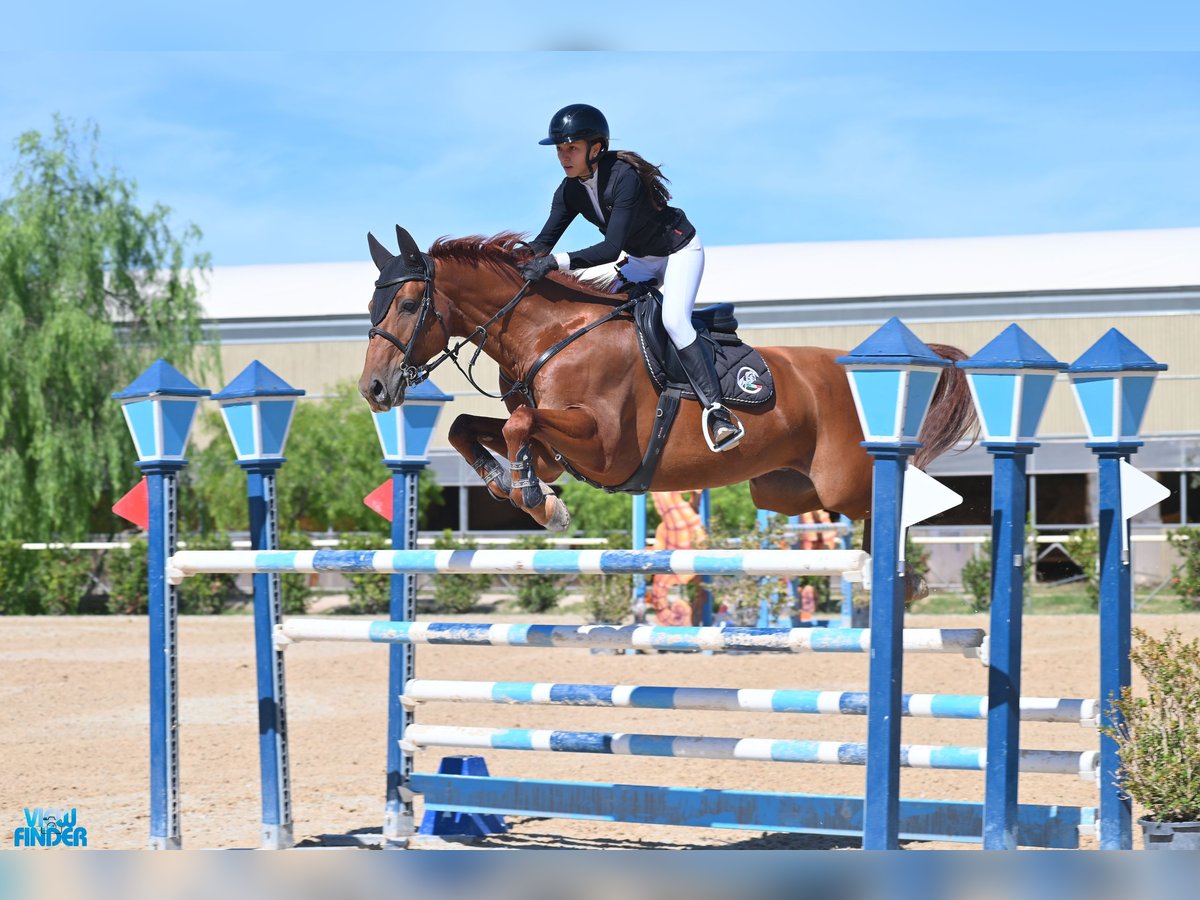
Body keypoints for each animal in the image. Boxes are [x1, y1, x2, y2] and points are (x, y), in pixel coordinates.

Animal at [355, 226, 974, 535]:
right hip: (785, 488)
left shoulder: (604, 444)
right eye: (372, 304)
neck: (550, 333)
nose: (374, 389)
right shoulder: (558, 451)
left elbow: (519, 425)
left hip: (842, 480)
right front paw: (517, 488)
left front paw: (534, 498)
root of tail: (845, 365)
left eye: (408, 305)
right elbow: (469, 426)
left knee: (895, 498)